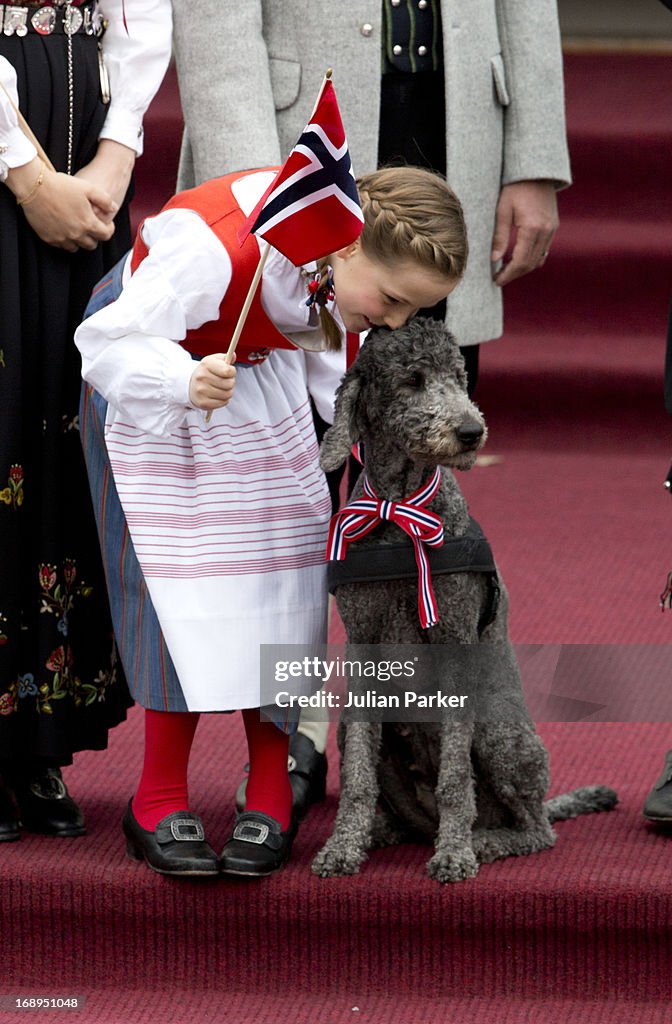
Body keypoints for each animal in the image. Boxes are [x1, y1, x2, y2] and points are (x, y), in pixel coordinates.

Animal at [311, 317, 618, 880]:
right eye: (412, 381)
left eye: (459, 378)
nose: (472, 432)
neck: (398, 511)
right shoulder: (363, 644)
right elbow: (359, 774)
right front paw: (343, 846)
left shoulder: (454, 642)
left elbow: (455, 777)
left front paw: (454, 854)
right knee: (408, 813)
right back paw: (387, 832)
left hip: (497, 731)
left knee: (535, 829)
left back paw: (484, 840)